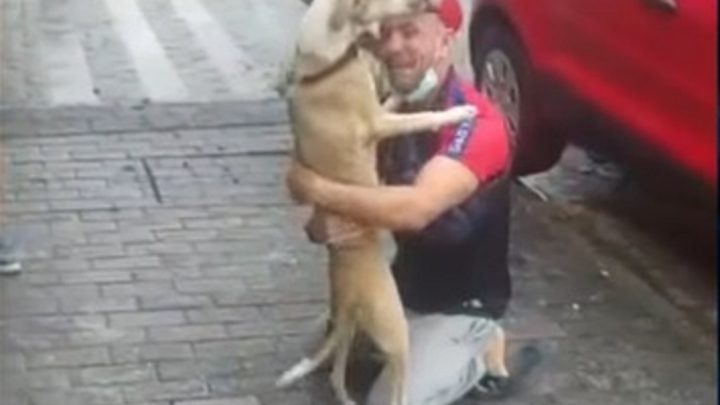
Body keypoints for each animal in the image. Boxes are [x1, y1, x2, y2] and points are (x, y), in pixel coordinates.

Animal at [276, 0, 478, 404]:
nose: (435, 4)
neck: (325, 61)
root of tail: (346, 299)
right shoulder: (377, 122)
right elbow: (421, 115)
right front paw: (457, 110)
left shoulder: (381, 109)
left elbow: (399, 97)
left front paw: (424, 83)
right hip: (395, 330)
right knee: (395, 387)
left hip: (349, 331)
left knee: (336, 375)